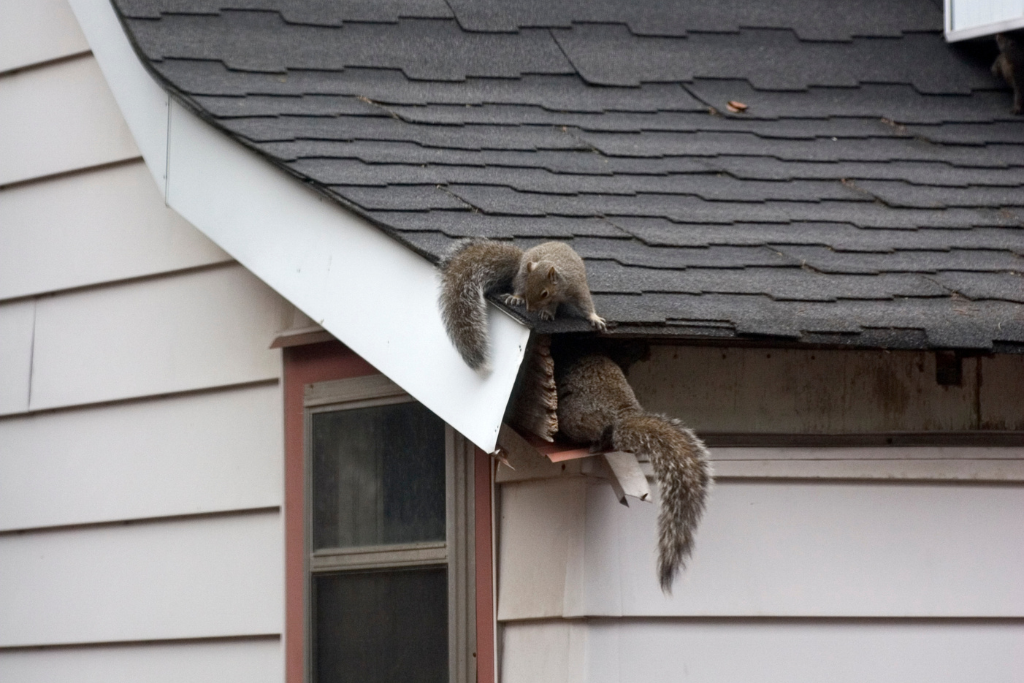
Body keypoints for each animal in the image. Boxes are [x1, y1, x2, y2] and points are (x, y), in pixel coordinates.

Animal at [440, 239, 606, 370]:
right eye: (528, 287)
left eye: (544, 293)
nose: (530, 309)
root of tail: (522, 260)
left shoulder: (576, 287)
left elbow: (585, 303)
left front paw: (594, 317)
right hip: (522, 273)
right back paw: (517, 298)